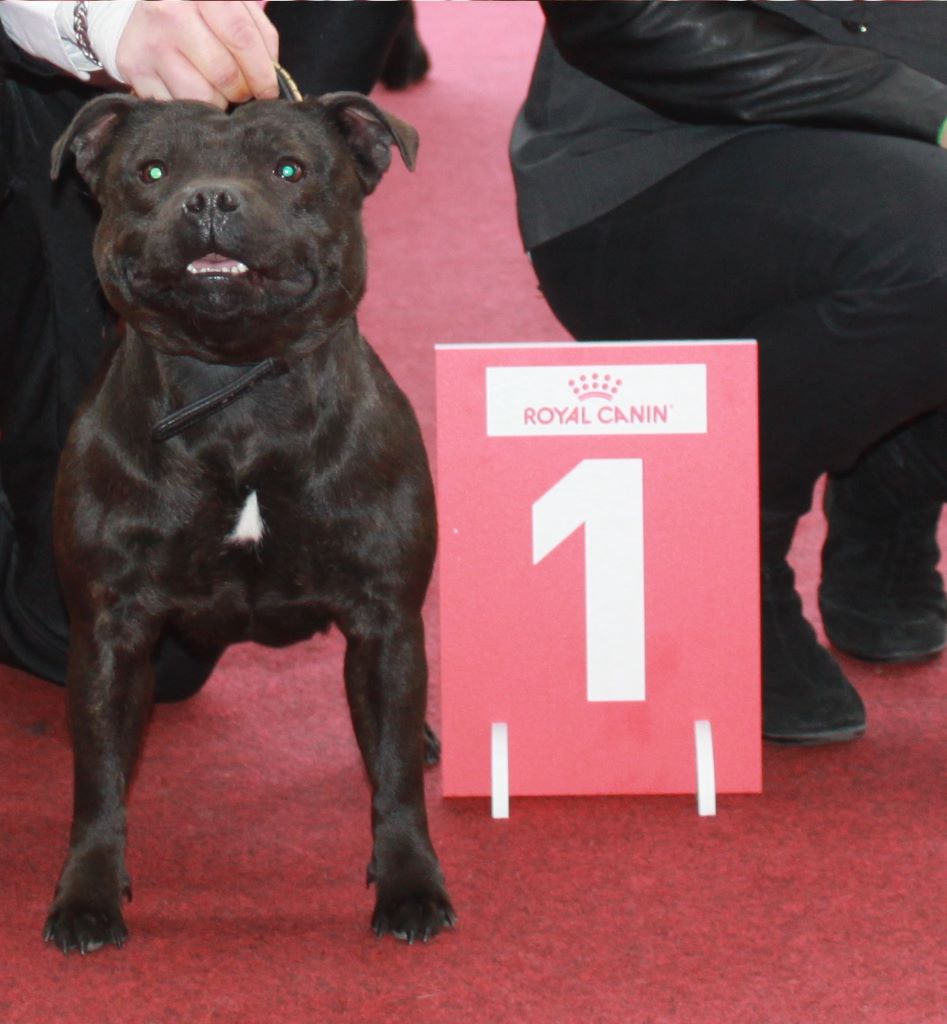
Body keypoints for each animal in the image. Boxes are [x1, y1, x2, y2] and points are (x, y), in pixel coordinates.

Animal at [44, 92, 454, 954]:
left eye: (289, 169)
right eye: (151, 172)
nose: (208, 200)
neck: (235, 395)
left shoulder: (387, 623)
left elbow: (394, 774)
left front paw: (409, 882)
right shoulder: (108, 630)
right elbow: (96, 780)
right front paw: (87, 893)